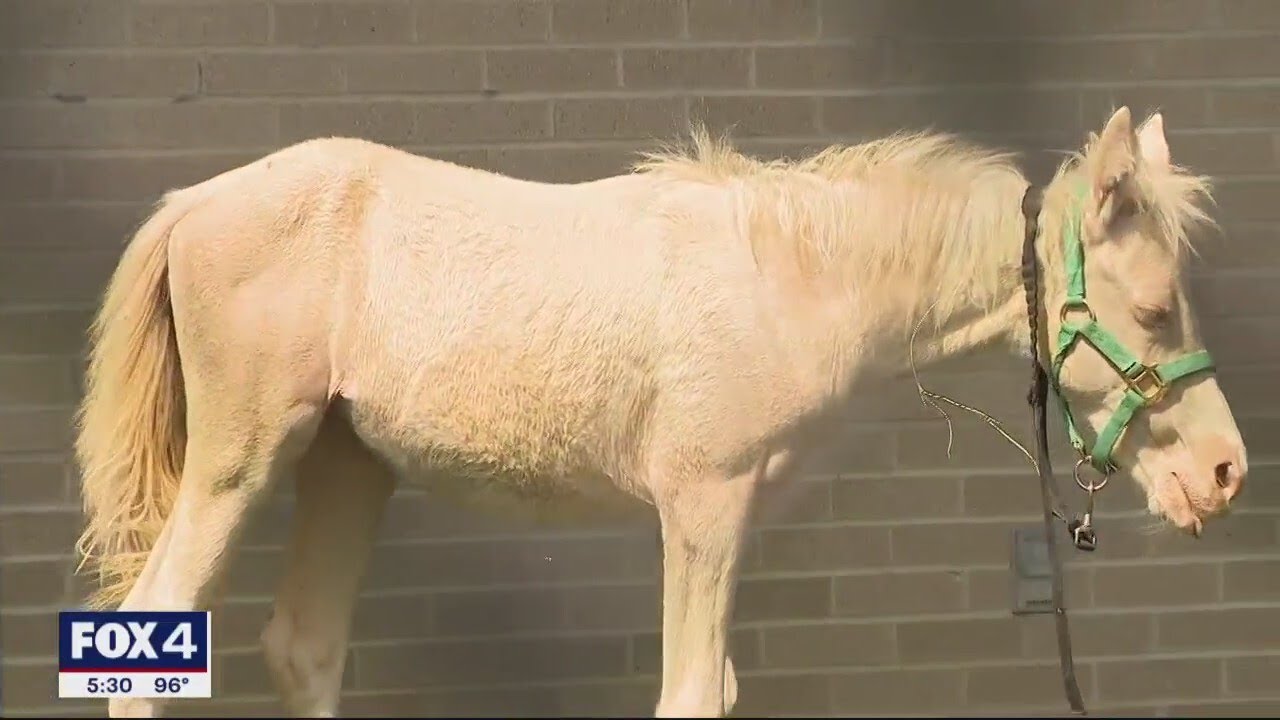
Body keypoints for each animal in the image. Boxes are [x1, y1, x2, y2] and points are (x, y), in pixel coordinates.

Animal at [72, 106, 1246, 718]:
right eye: (1152, 307)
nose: (1224, 473)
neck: (786, 279)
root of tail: (192, 205)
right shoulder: (702, 508)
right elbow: (688, 692)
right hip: (243, 456)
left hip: (346, 461)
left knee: (306, 645)